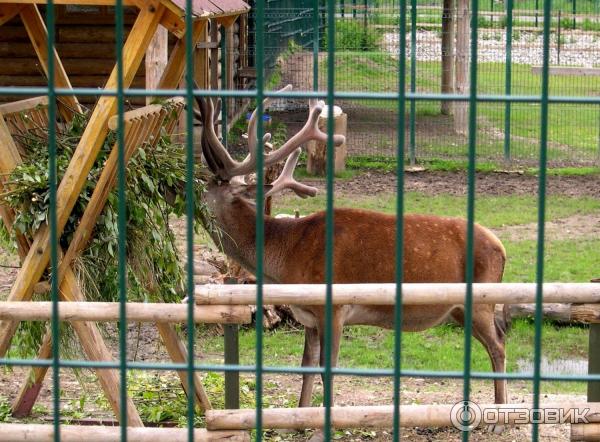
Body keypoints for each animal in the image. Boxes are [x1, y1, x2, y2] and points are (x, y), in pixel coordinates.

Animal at [195, 86, 508, 422]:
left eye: (201, 187)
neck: (286, 258)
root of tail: (503, 249)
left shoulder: (333, 307)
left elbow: (327, 369)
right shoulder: (309, 316)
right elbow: (306, 367)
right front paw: (301, 418)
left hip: (480, 301)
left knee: (499, 345)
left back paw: (501, 412)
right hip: (461, 308)